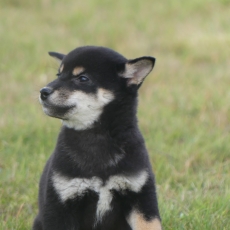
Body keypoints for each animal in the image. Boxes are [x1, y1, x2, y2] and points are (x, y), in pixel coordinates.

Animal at [33, 45, 161, 229]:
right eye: (59, 75)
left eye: (83, 78)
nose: (43, 91)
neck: (96, 138)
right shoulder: (60, 204)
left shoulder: (141, 197)